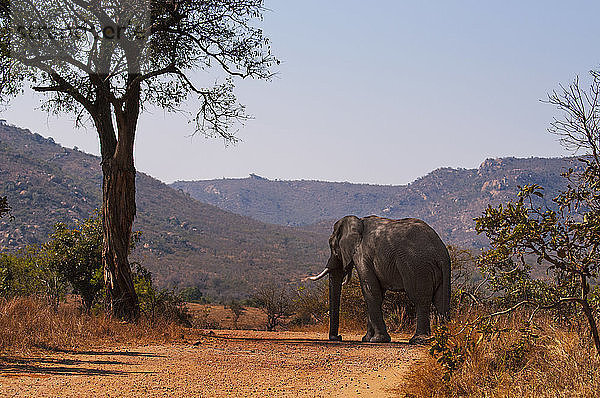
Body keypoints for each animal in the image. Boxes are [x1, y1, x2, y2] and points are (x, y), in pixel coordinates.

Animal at [310, 216, 450, 344]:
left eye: (332, 247)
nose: (338, 337)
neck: (358, 221)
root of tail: (440, 252)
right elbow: (377, 293)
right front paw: (366, 339)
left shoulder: (362, 254)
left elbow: (370, 291)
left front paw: (377, 340)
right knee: (441, 300)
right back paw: (443, 339)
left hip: (417, 267)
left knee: (420, 299)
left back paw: (418, 340)